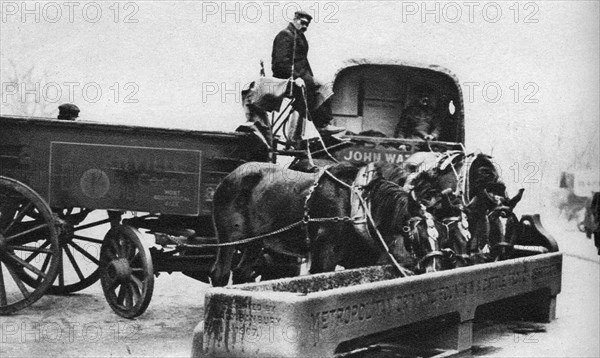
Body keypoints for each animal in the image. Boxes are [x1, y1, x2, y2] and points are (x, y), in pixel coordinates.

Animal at [210, 161, 440, 286]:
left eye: (439, 234)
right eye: (416, 231)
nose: (434, 270)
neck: (358, 203)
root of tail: (229, 177)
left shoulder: (359, 260)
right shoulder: (324, 256)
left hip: (256, 242)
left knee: (241, 274)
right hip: (228, 239)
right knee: (220, 274)